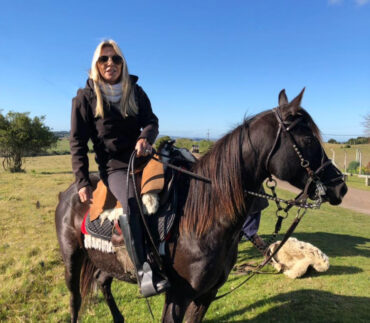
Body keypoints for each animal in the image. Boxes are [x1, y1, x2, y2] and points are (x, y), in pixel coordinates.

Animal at [55, 89, 346, 323]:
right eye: (308, 140)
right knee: (75, 300)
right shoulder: (177, 297)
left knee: (102, 283)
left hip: (106, 261)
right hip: (72, 259)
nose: (340, 186)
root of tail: (70, 193)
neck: (203, 220)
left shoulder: (206, 295)